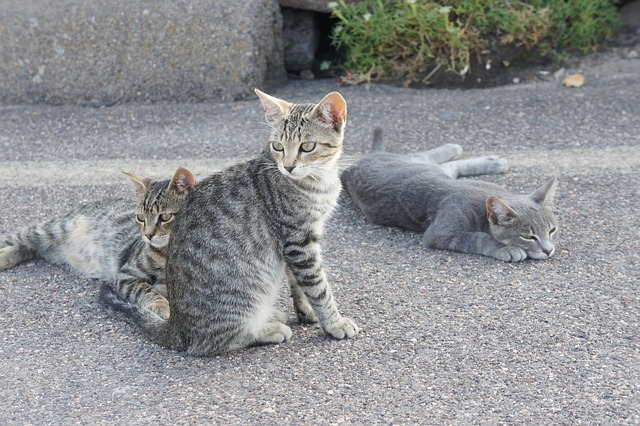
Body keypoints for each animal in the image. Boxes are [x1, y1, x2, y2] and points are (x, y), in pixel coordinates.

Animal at [0, 168, 195, 318]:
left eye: (165, 216)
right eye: (141, 218)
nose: (147, 235)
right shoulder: (126, 275)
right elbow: (145, 290)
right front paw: (162, 306)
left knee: (29, 248)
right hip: (52, 229)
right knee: (18, 238)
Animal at [100, 88, 360, 354]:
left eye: (307, 146)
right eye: (277, 146)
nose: (287, 167)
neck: (320, 181)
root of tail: (176, 326)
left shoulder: (294, 242)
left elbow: (298, 283)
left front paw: (307, 312)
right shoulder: (298, 241)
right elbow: (318, 287)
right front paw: (334, 322)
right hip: (245, 294)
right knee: (212, 341)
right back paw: (268, 329)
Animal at [342, 129, 556, 262]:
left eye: (552, 230)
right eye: (528, 237)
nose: (549, 249)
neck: (483, 198)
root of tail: (364, 158)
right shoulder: (439, 233)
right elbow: (479, 238)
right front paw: (505, 248)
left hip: (431, 168)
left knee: (449, 165)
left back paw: (487, 159)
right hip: (417, 162)